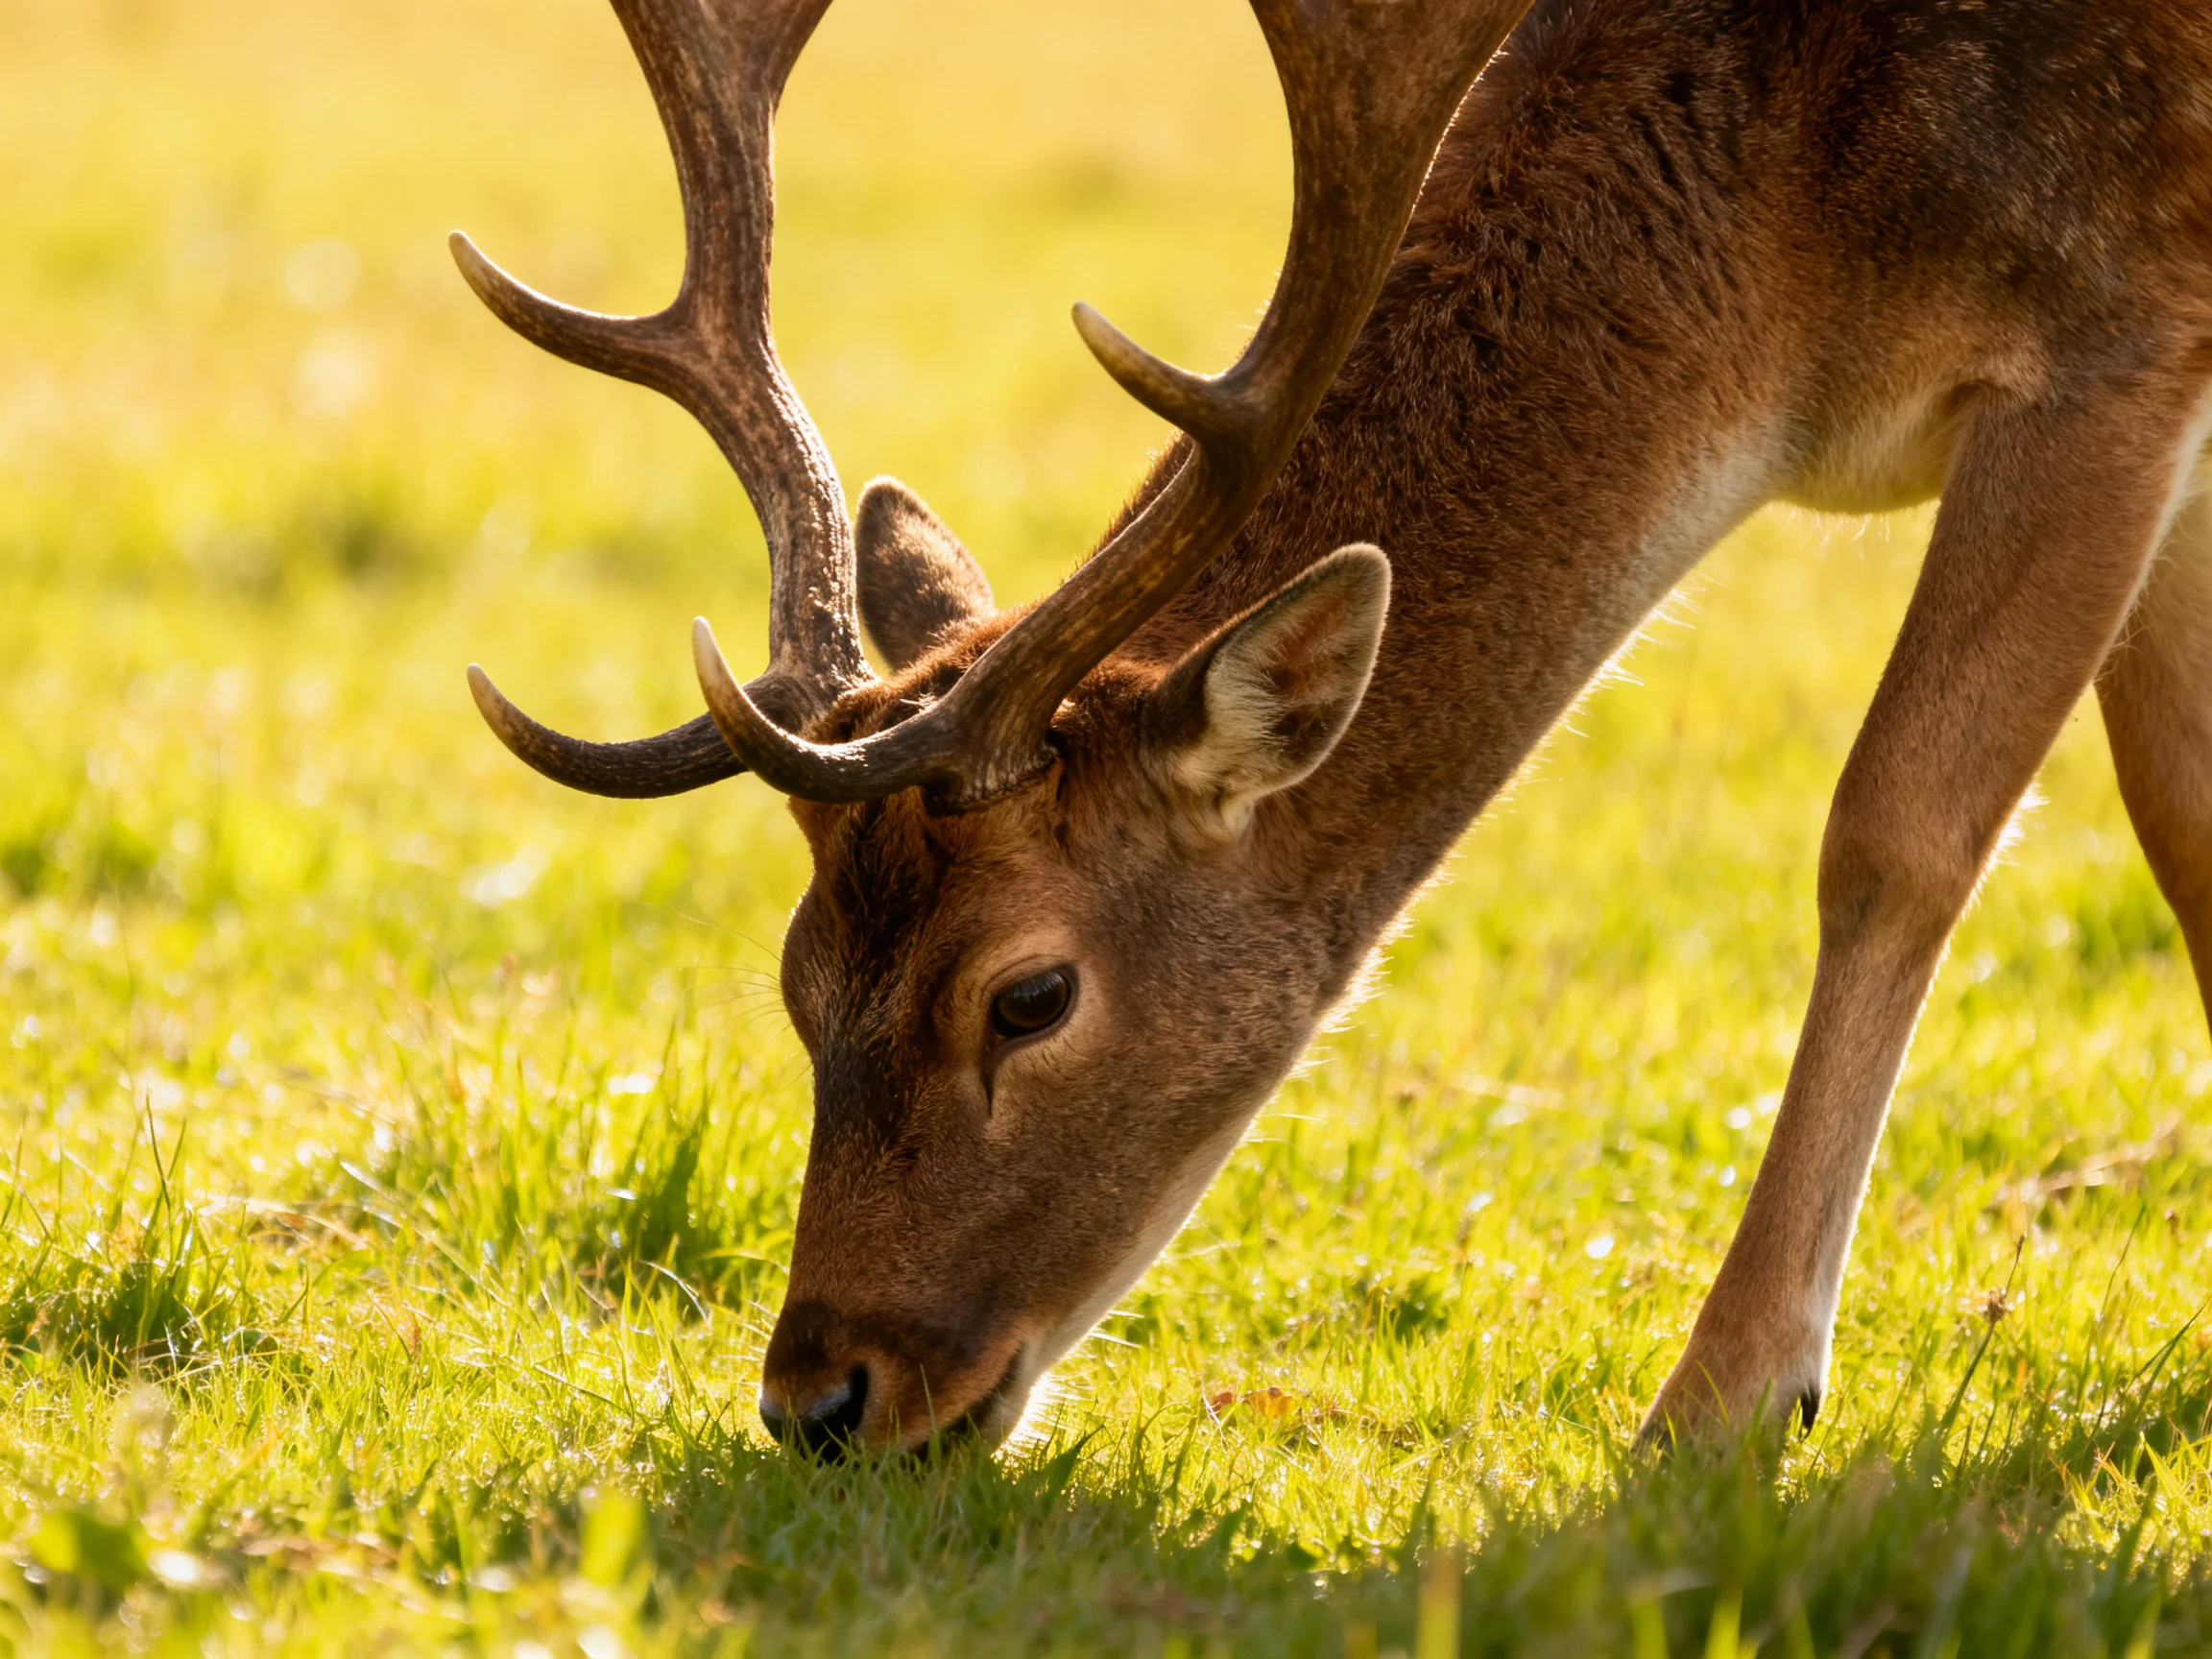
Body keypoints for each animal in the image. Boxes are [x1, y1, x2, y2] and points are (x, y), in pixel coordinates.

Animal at [452, 0, 2212, 1454]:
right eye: (797, 976)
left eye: (1027, 995)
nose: (818, 1396)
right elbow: (2185, 823)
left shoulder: (2110, 324)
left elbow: (1896, 831)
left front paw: (1723, 1399)